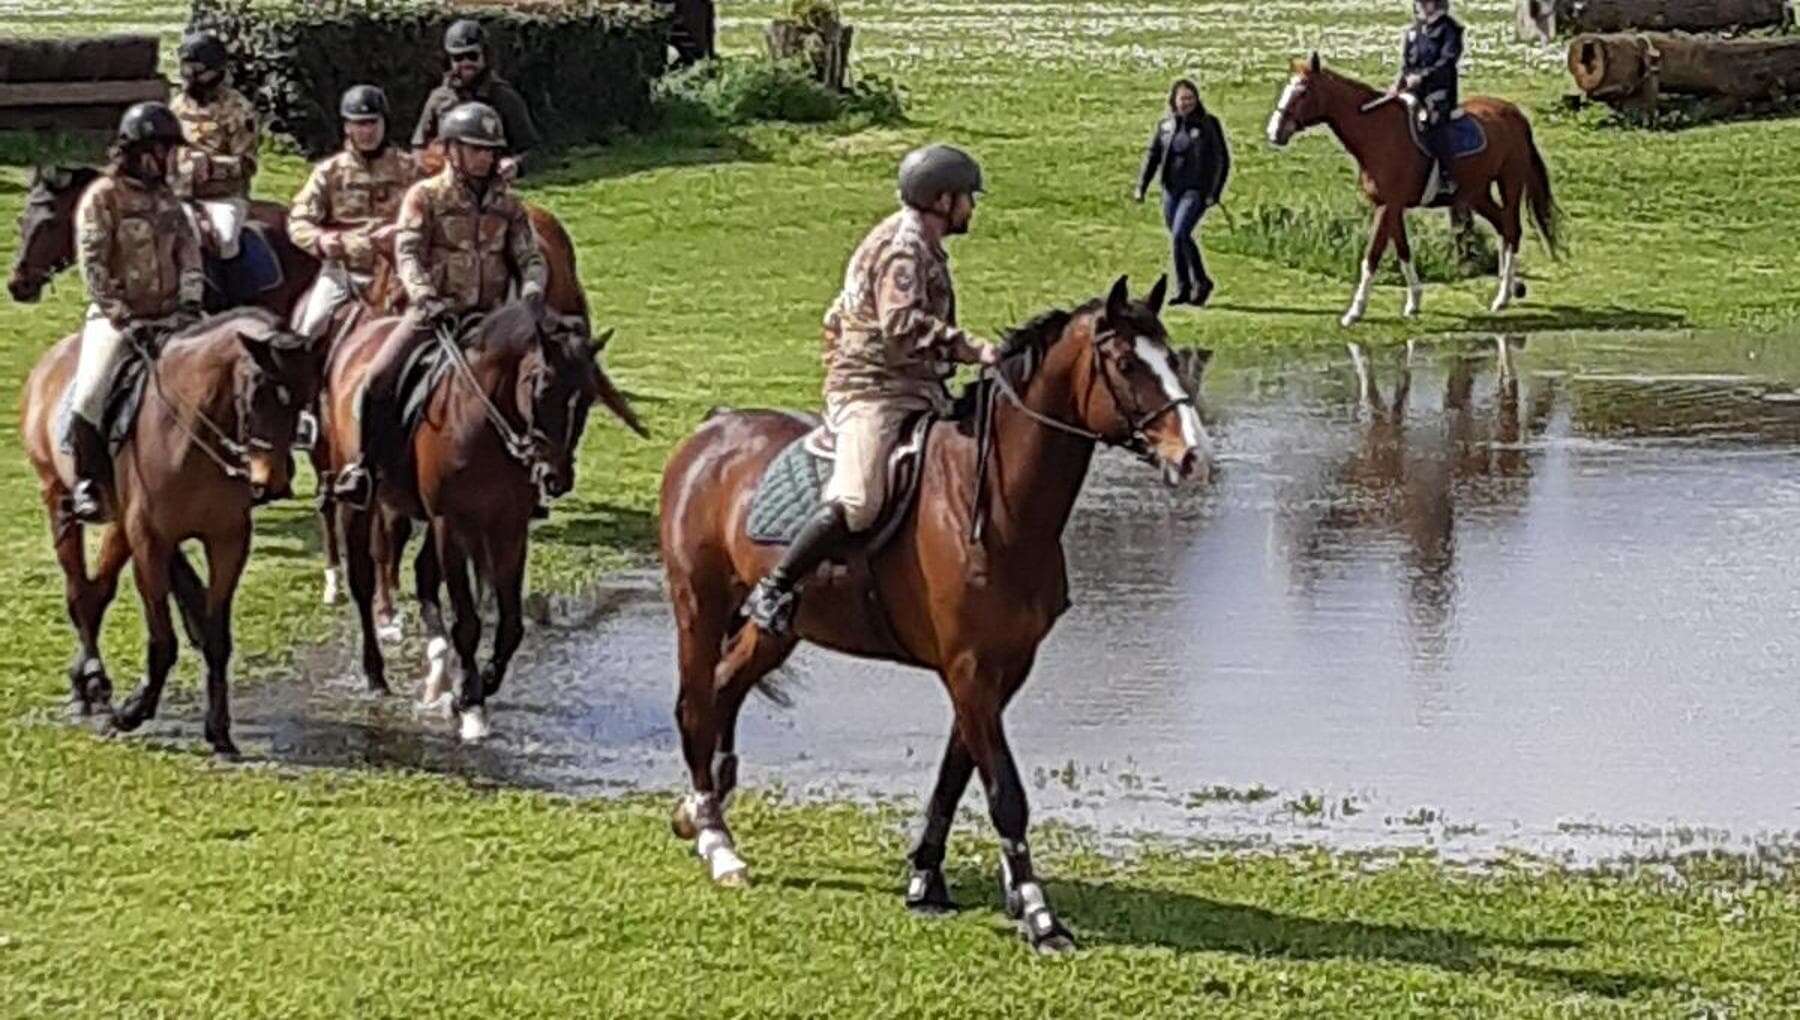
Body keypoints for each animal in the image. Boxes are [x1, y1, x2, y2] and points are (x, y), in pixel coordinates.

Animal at [19, 307, 324, 755]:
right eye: (256, 395)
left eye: (303, 397)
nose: (272, 483)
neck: (191, 427)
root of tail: (49, 361)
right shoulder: (151, 542)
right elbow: (162, 640)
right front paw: (132, 713)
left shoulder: (228, 540)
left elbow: (216, 637)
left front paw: (220, 732)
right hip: (58, 499)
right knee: (79, 592)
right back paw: (90, 680)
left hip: (118, 524)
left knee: (97, 592)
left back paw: (87, 684)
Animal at [324, 304, 648, 741]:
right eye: (542, 387)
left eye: (585, 399)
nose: (555, 478)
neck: (482, 423)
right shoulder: (451, 524)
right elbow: (467, 621)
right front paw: (472, 703)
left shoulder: (508, 527)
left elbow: (510, 625)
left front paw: (479, 684)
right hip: (360, 502)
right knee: (363, 581)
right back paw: (377, 675)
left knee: (424, 576)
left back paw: (439, 674)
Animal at [658, 275, 1209, 957]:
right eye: (1129, 364)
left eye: (1171, 356)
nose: (1193, 457)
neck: (996, 505)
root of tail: (712, 432)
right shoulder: (969, 669)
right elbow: (1005, 793)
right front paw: (1039, 916)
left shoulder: (1001, 669)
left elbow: (955, 772)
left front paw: (927, 879)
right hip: (698, 607)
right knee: (695, 706)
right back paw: (718, 845)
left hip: (774, 631)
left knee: (724, 691)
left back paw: (697, 812)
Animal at [1267, 53, 1562, 329]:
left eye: (1303, 91)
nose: (1274, 133)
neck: (1378, 132)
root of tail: (1515, 114)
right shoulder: (1390, 206)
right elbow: (1403, 251)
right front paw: (1414, 301)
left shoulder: (1387, 207)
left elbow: (1371, 256)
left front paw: (1355, 312)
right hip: (1476, 193)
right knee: (1503, 227)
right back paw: (1509, 288)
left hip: (1510, 182)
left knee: (1512, 229)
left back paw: (1502, 297)